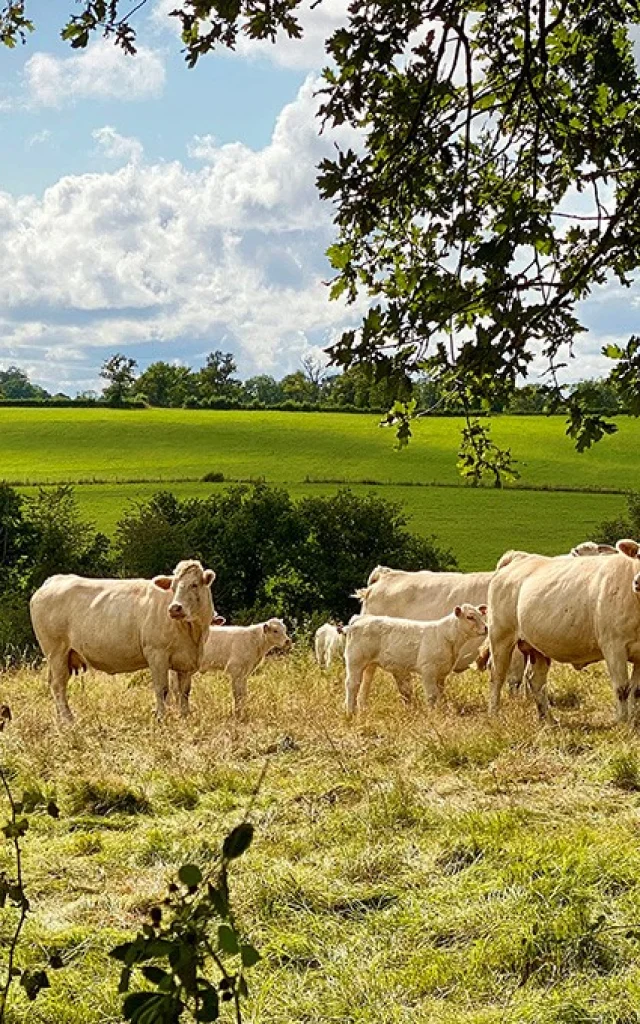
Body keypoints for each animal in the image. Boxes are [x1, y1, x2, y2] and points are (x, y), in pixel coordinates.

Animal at [342, 602, 487, 716]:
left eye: (481, 615)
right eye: (470, 617)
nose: (486, 628)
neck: (448, 638)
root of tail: (360, 619)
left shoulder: (441, 673)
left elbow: (440, 693)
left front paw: (439, 711)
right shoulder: (428, 670)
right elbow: (432, 695)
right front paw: (432, 714)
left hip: (370, 664)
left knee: (365, 684)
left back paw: (363, 709)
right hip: (355, 661)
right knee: (352, 684)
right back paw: (350, 712)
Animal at [489, 540, 640, 724]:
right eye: (639, 555)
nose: (638, 582)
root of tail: (519, 558)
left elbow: (636, 690)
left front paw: (633, 721)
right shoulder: (613, 647)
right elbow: (622, 688)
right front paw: (621, 722)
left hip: (537, 648)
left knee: (536, 681)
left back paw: (548, 719)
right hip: (500, 637)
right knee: (497, 676)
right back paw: (494, 714)